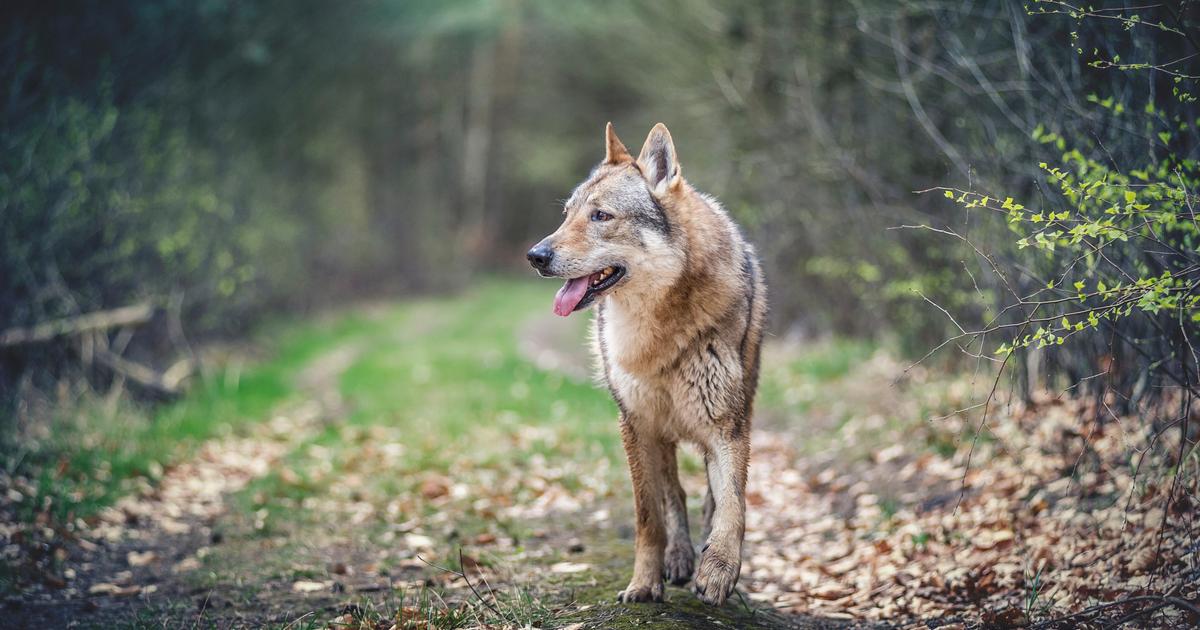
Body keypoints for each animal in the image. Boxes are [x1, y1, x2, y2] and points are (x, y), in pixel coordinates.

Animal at [526, 123, 766, 606]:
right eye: (567, 214)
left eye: (601, 216)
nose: (535, 256)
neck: (657, 332)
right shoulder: (635, 425)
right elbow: (648, 517)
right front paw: (643, 583)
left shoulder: (726, 425)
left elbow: (733, 502)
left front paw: (719, 571)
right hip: (658, 429)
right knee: (674, 491)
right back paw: (678, 558)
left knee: (708, 496)